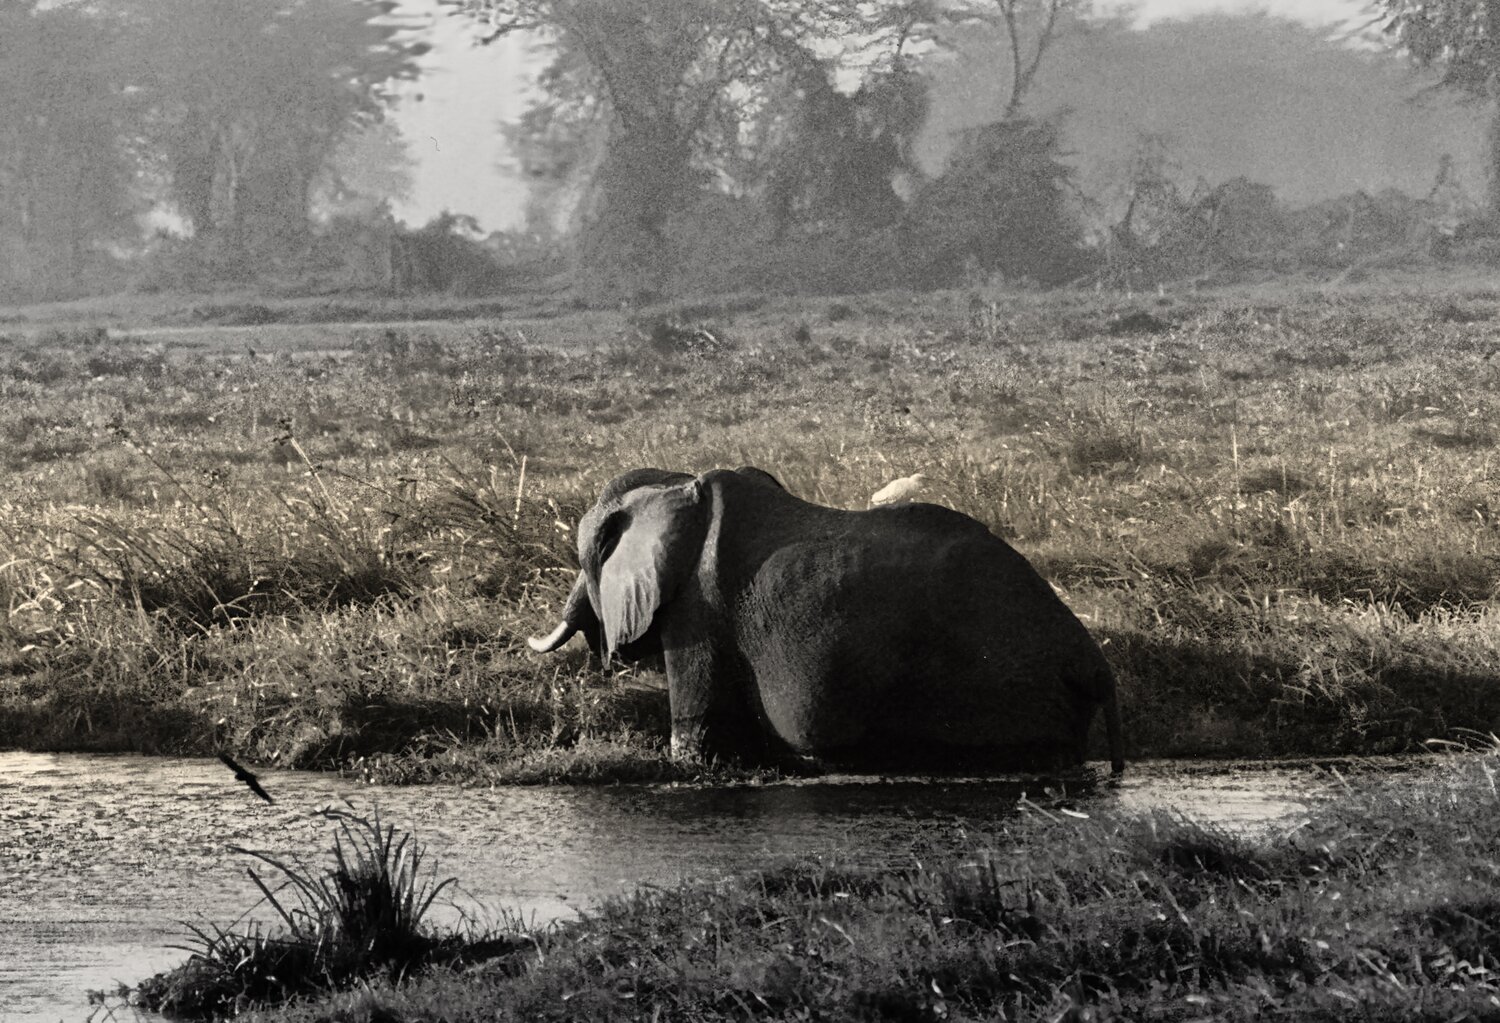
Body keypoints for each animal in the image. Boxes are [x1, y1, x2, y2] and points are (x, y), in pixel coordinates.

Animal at [529, 466, 1124, 775]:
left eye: (590, 557)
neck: (674, 493)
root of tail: (1093, 663)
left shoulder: (699, 610)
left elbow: (703, 741)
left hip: (1001, 683)